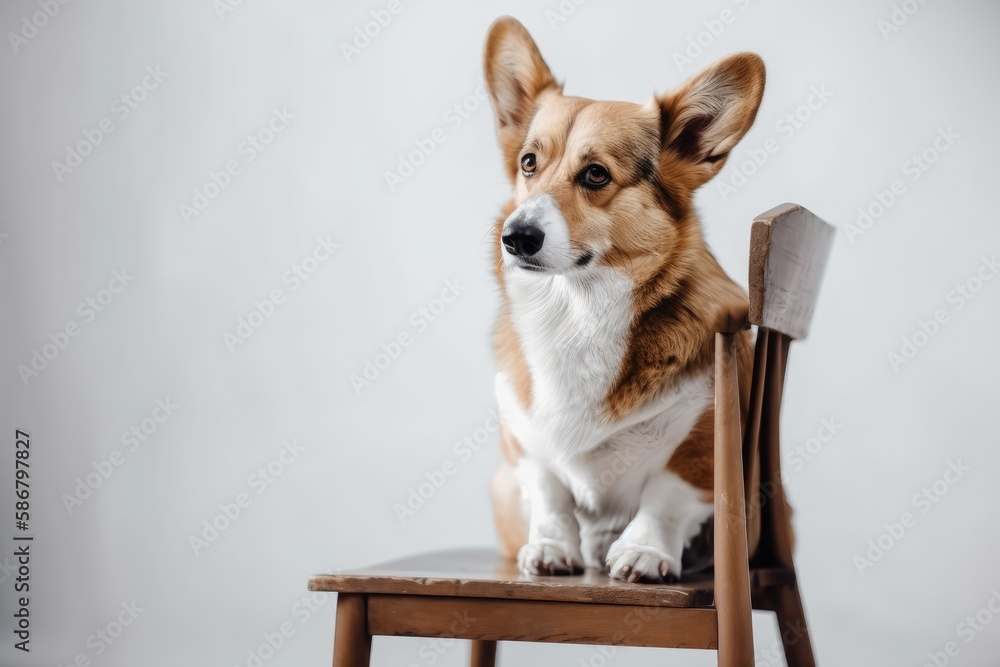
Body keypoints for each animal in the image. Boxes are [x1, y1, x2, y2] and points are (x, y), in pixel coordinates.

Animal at [486, 13, 764, 580]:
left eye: (596, 174)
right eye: (528, 163)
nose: (516, 237)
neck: (579, 312)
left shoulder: (704, 436)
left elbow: (666, 493)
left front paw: (645, 552)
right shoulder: (522, 442)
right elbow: (549, 489)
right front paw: (551, 547)